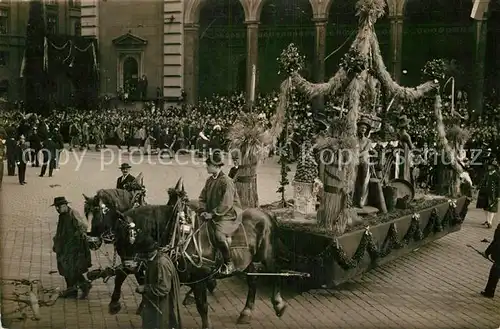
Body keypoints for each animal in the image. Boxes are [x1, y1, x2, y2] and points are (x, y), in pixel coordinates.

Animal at [117, 179, 288, 328]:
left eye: (129, 239)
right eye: (118, 243)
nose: (129, 266)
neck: (177, 232)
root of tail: (266, 214)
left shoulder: (199, 277)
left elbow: (202, 305)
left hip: (266, 255)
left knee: (276, 271)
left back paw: (278, 304)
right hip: (249, 260)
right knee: (253, 280)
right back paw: (246, 312)